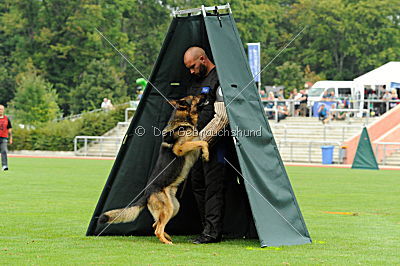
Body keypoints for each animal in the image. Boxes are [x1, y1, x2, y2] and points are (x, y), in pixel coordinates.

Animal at [98, 95, 208, 245]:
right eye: (194, 97)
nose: (206, 93)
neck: (182, 121)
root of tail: (146, 194)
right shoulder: (179, 148)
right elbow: (203, 142)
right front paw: (207, 154)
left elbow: (201, 141)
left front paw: (205, 154)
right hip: (168, 209)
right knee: (157, 228)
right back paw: (167, 242)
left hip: (174, 207)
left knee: (156, 224)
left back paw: (167, 237)